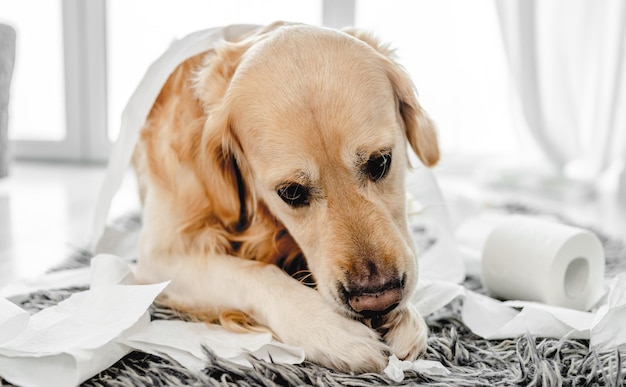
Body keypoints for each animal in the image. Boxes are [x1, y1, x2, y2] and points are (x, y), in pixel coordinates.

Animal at [133, 22, 434, 372]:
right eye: (291, 192)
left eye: (380, 162)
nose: (377, 299)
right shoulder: (158, 258)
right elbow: (250, 272)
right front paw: (328, 329)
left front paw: (407, 317)